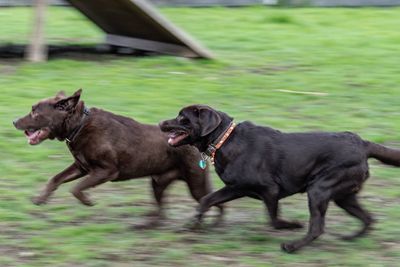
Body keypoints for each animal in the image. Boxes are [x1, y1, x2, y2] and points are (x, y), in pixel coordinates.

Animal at [13, 91, 222, 227]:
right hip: (158, 183)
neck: (79, 125)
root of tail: (195, 141)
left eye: (35, 111)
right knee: (162, 209)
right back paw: (149, 224)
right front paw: (40, 199)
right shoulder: (81, 167)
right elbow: (56, 179)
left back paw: (217, 223)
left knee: (213, 200)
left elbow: (76, 188)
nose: (13, 121)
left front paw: (88, 201)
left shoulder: (106, 170)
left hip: (196, 183)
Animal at [159, 105, 400, 253]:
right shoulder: (235, 188)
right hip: (344, 196)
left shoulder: (270, 190)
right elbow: (206, 200)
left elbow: (274, 220)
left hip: (318, 190)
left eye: (183, 118)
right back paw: (352, 238)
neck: (224, 140)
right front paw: (194, 225)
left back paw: (292, 246)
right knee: (368, 218)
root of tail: (363, 143)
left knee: (317, 227)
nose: (161, 122)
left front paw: (292, 225)